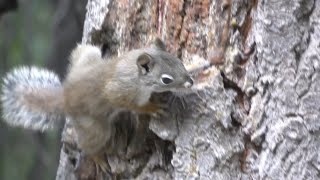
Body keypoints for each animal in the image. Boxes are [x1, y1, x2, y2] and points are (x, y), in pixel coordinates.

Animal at [1, 39, 194, 172]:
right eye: (166, 79)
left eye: (179, 61)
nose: (190, 82)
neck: (137, 75)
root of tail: (66, 98)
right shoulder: (120, 91)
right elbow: (130, 104)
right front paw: (151, 108)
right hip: (96, 128)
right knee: (86, 145)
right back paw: (98, 159)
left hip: (89, 53)